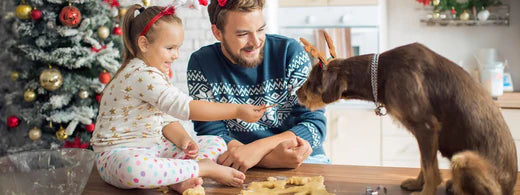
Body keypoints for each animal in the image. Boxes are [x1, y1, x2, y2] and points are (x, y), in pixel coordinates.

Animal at [294, 32, 516, 195]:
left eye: (310, 81)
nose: (295, 93)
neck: (381, 73)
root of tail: (511, 185)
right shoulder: (423, 134)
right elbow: (425, 163)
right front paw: (417, 183)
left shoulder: (426, 127)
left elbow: (430, 169)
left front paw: (425, 192)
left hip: (463, 159)